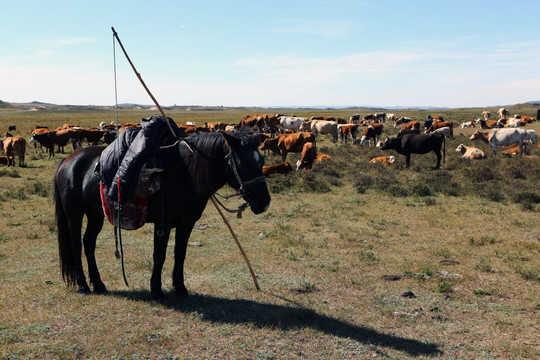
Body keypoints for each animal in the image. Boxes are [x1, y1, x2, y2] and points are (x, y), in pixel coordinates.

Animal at [56, 131, 270, 300]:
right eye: (243, 162)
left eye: (262, 161)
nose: (264, 202)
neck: (185, 172)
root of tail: (67, 161)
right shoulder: (163, 223)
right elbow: (159, 255)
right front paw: (157, 290)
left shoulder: (187, 223)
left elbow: (180, 254)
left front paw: (180, 287)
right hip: (74, 215)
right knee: (76, 245)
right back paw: (83, 285)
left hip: (95, 215)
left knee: (89, 243)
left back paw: (99, 284)